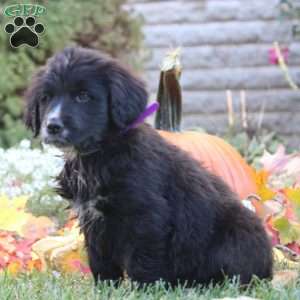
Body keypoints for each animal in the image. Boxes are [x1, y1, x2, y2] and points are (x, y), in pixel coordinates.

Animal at [24, 47, 274, 286]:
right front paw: (106, 289)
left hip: (236, 232)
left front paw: (144, 289)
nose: (52, 126)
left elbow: (143, 260)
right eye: (46, 98)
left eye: (83, 96)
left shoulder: (147, 216)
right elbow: (100, 260)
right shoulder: (93, 221)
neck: (99, 153)